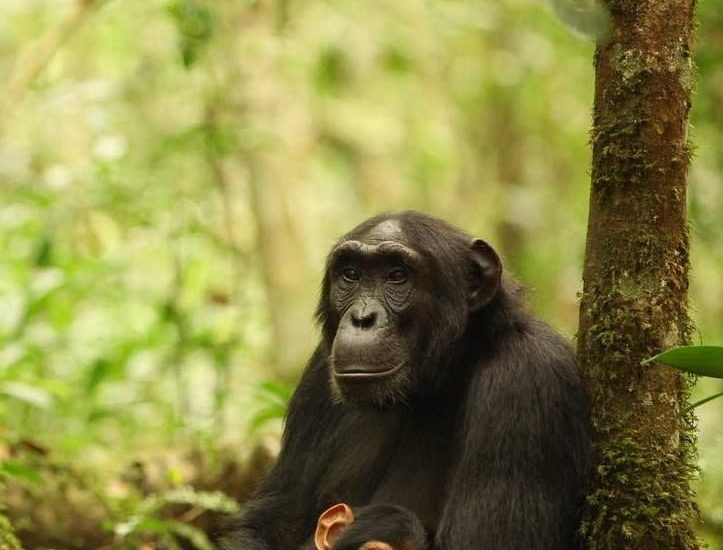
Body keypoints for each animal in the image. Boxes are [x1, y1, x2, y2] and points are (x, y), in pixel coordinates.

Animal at [221, 212, 592, 550]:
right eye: (351, 275)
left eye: (397, 276)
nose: (362, 318)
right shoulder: (317, 377)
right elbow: (272, 525)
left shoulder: (526, 380)